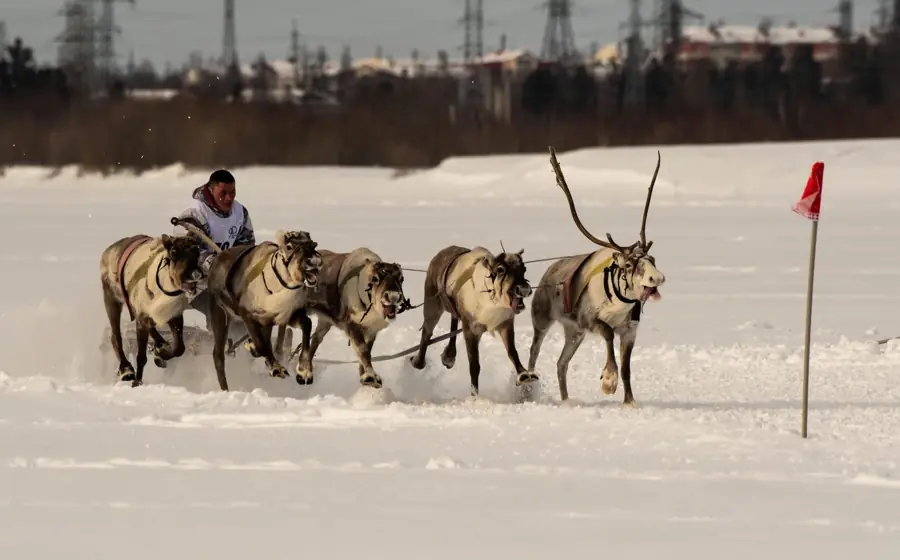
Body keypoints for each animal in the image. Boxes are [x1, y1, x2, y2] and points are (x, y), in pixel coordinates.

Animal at [527, 147, 666, 406]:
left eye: (652, 259)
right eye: (630, 264)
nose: (657, 278)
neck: (618, 300)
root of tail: (548, 271)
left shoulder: (629, 329)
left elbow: (627, 368)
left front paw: (629, 401)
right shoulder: (589, 319)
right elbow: (609, 335)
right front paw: (608, 382)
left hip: (574, 332)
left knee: (561, 363)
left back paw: (566, 400)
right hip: (543, 319)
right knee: (534, 351)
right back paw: (527, 385)